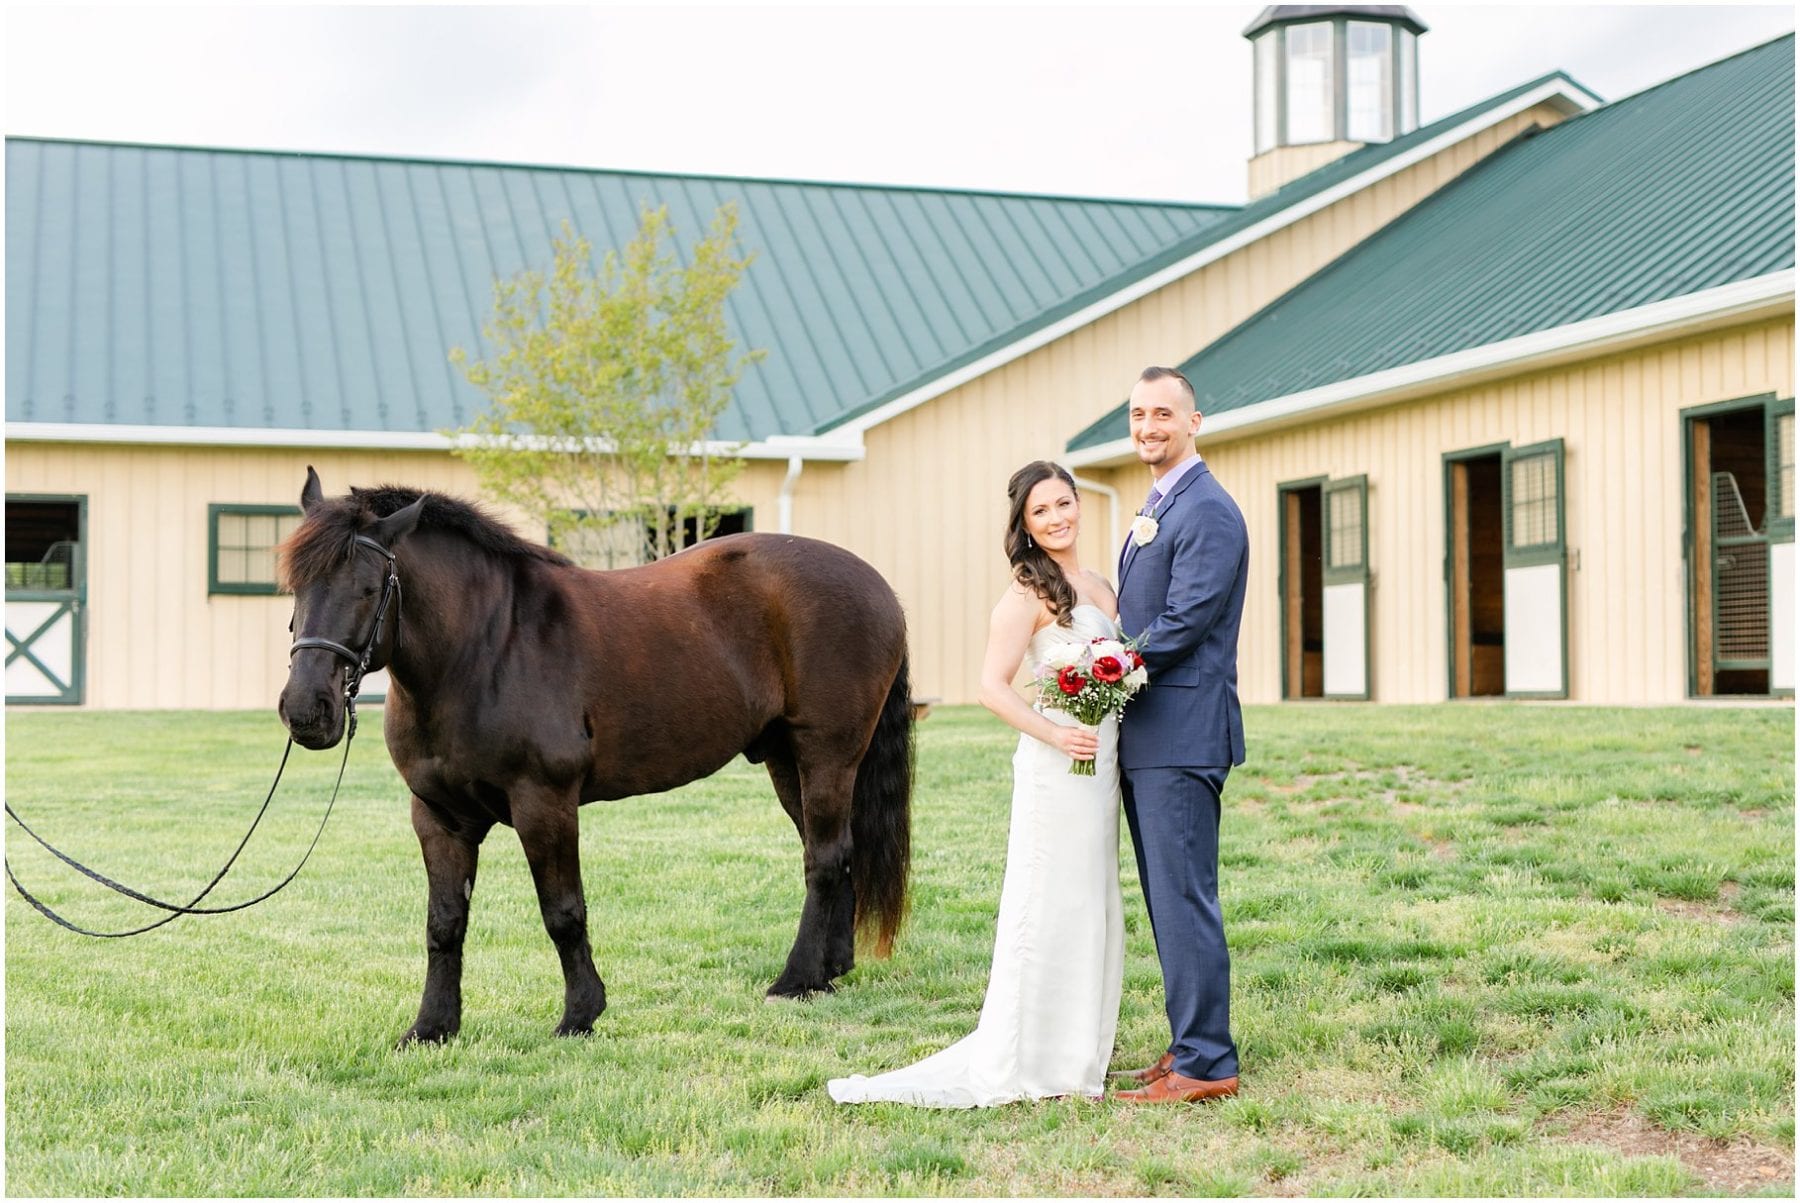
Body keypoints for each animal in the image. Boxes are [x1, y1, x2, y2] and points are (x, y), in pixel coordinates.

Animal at [275, 468, 914, 1044]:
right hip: (786, 759)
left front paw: (580, 1015)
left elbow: (563, 912)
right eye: (295, 585)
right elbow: (445, 923)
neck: (483, 650)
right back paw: (830, 972)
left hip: (827, 754)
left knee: (824, 858)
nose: (306, 710)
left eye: (368, 588)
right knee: (835, 850)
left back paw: (795, 980)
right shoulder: (438, 816)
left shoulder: (545, 803)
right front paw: (432, 1027)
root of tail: (877, 585)